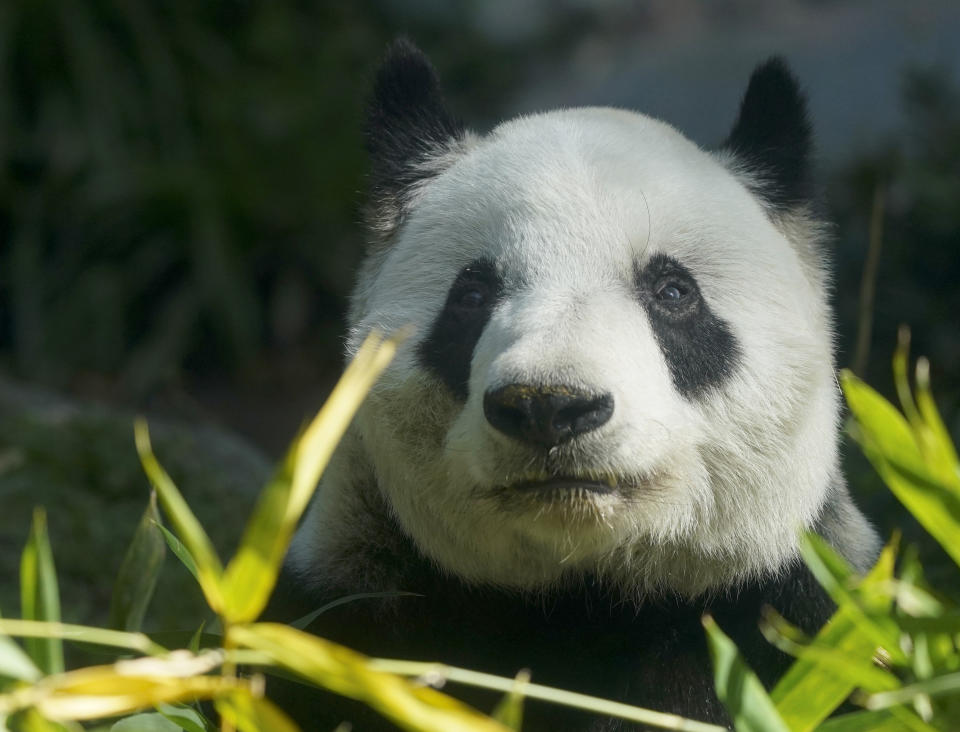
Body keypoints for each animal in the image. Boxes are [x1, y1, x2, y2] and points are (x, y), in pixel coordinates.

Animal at [276, 41, 876, 732]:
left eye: (673, 292)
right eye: (471, 295)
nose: (550, 407)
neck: (579, 595)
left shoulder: (795, 615)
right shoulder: (351, 615)